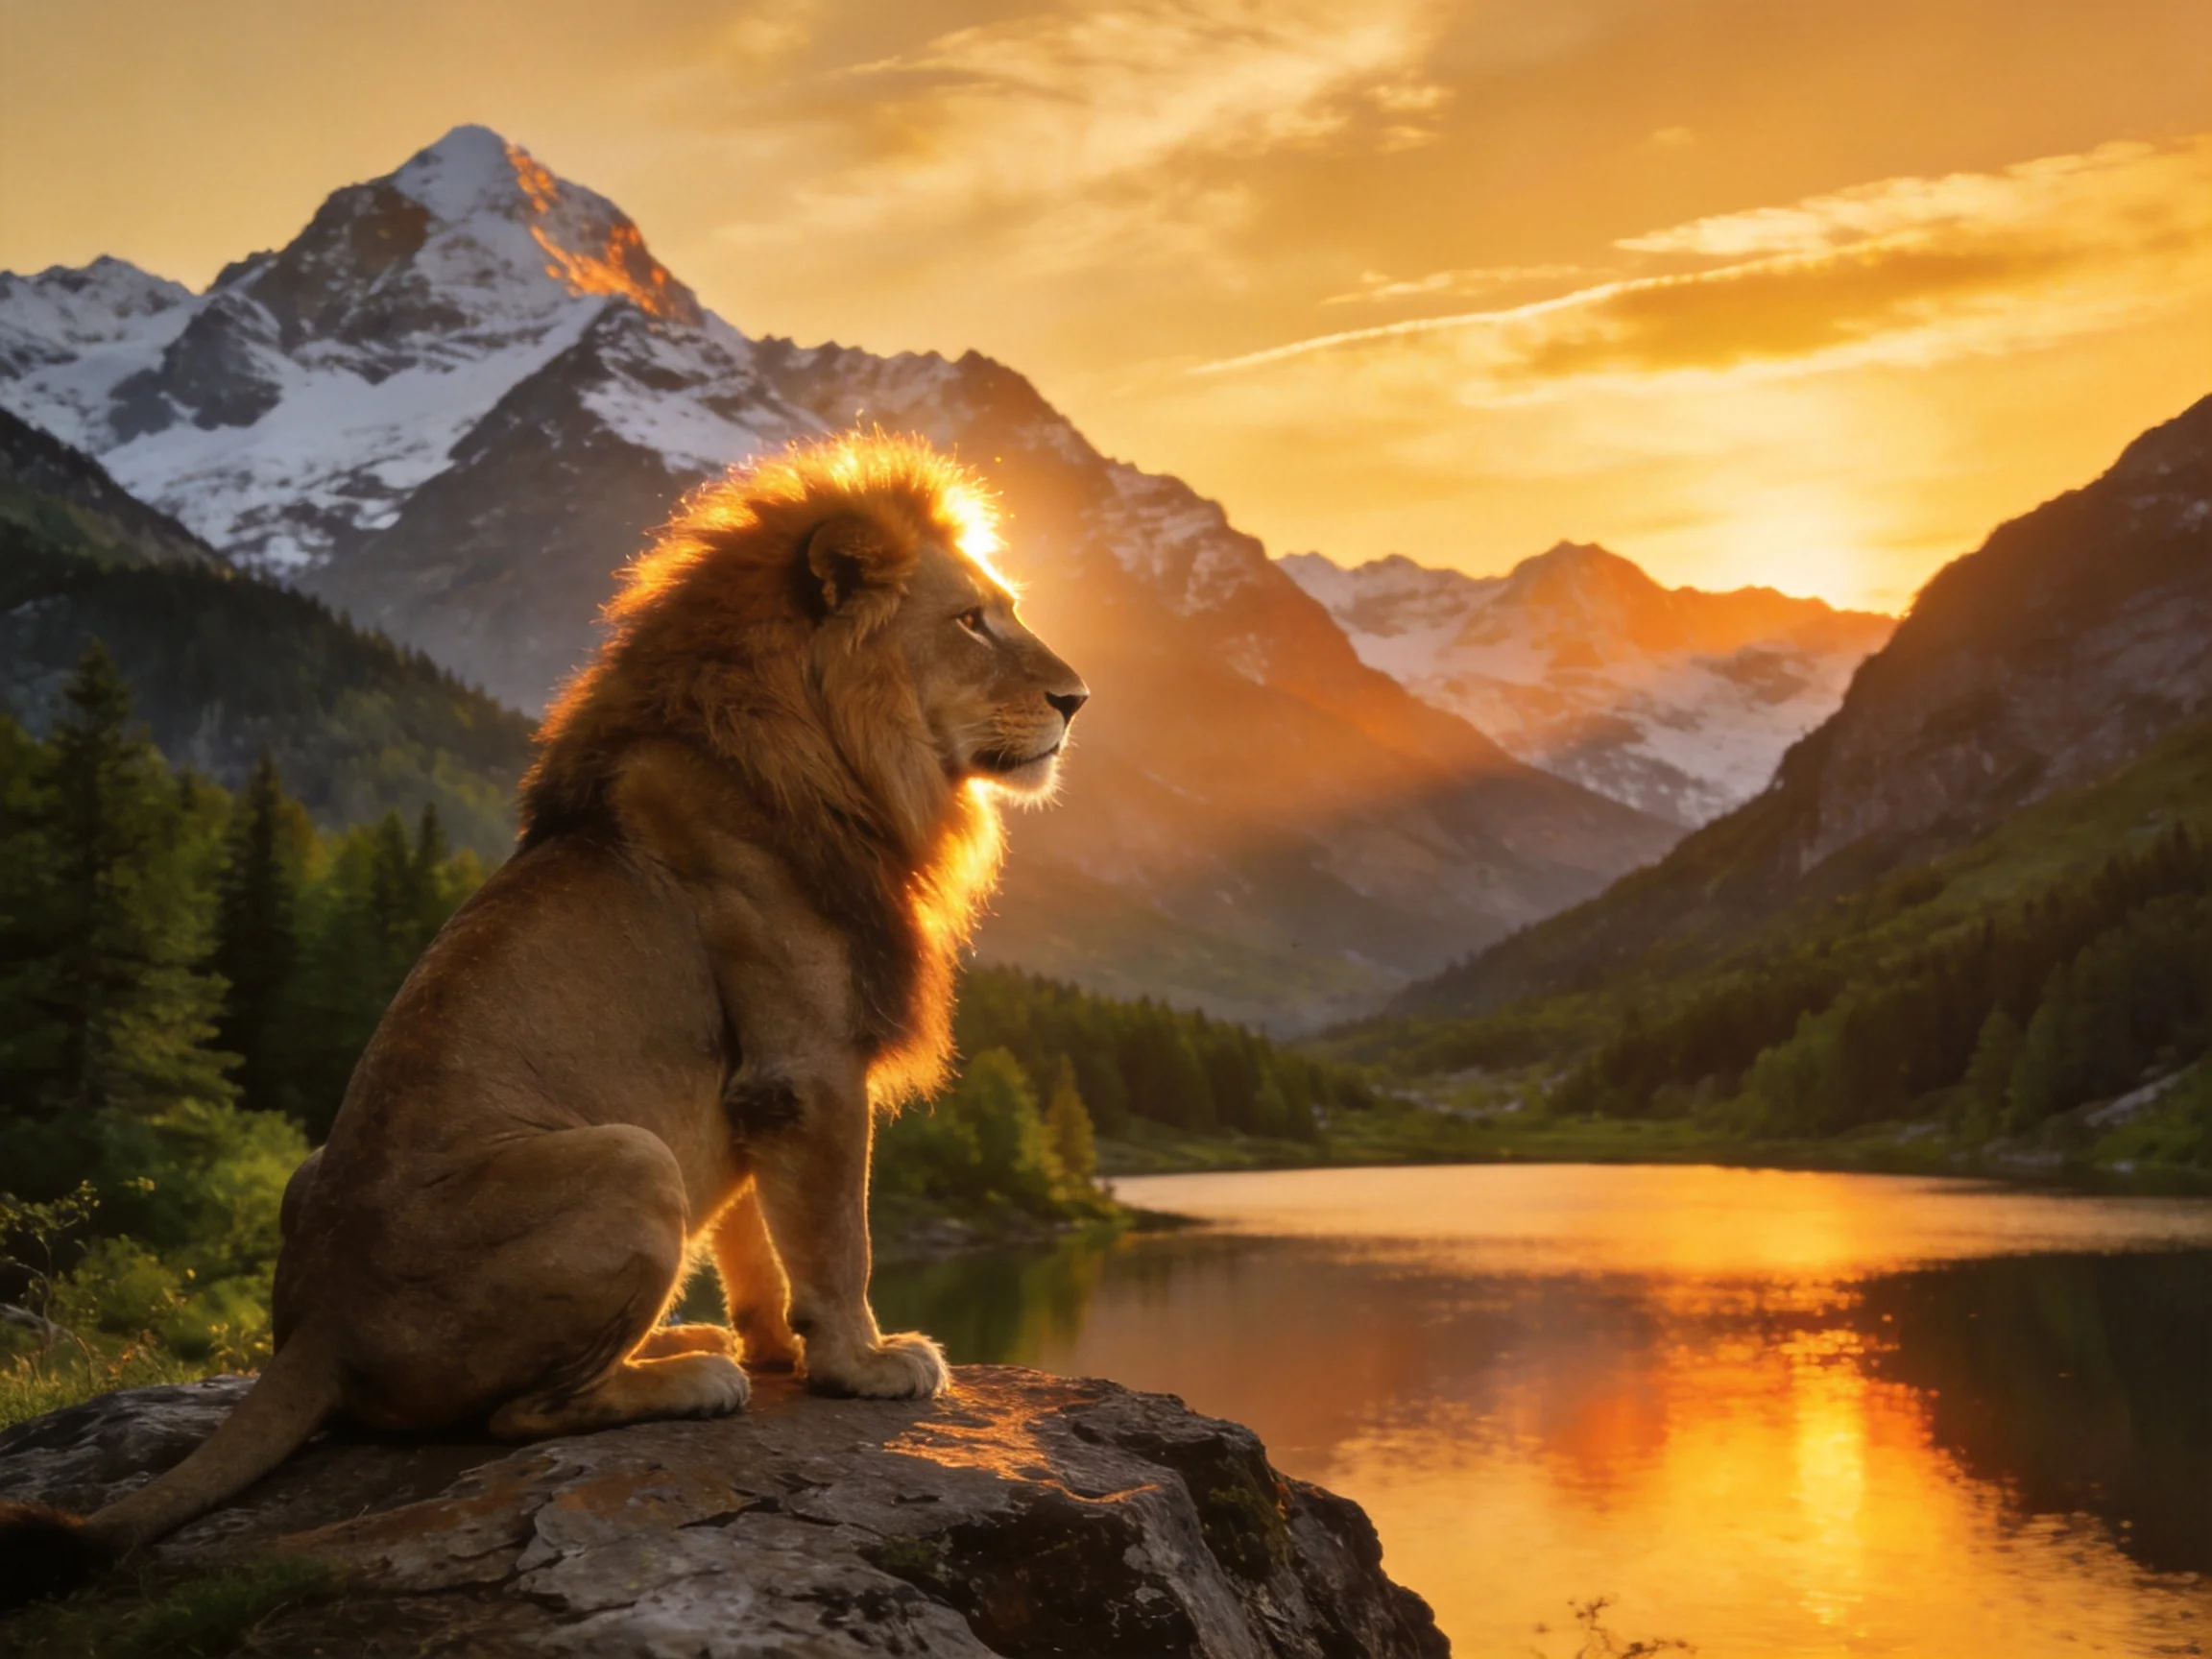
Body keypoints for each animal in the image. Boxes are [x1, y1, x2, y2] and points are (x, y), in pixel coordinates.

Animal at [0, 433, 1088, 1600]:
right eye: (971, 620)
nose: (1079, 698)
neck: (834, 749)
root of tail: (318, 1329)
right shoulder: (808, 1063)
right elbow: (839, 1238)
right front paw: (866, 1364)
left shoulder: (756, 1091)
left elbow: (759, 1239)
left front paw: (782, 1350)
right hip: (629, 1158)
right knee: (517, 1415)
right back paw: (690, 1377)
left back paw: (692, 1347)